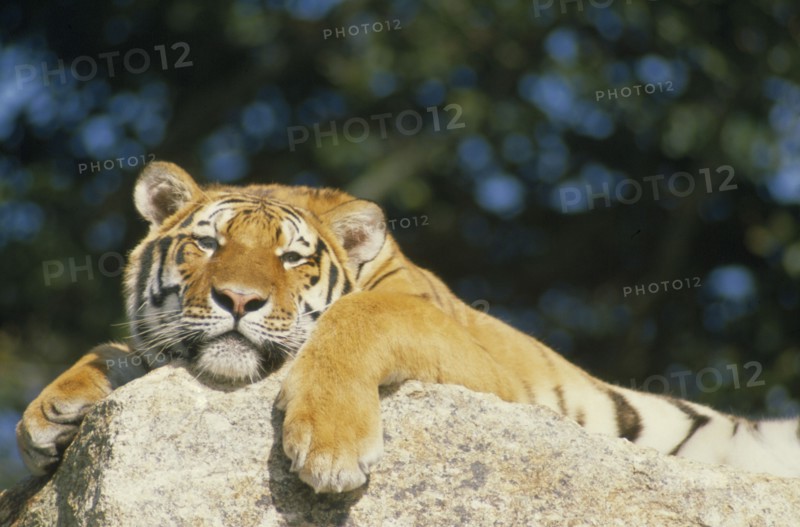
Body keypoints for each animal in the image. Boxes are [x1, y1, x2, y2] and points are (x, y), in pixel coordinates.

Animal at [16, 161, 800, 493]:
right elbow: (122, 350)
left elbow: (361, 317)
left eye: (291, 257)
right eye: (207, 245)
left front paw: (330, 446)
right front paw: (52, 412)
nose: (239, 300)